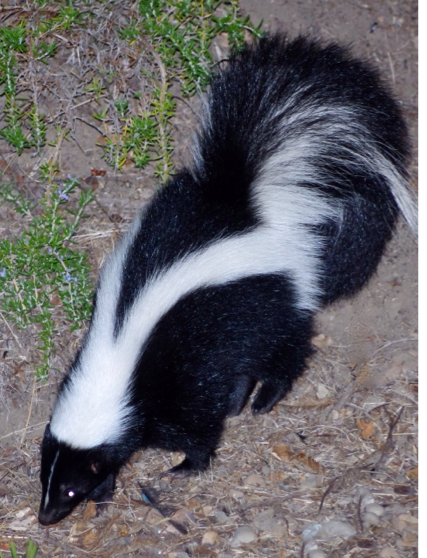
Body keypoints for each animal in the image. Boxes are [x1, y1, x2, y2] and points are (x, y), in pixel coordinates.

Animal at [36, 36, 418, 528]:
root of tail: (246, 203)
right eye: (46, 476)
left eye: (69, 487)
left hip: (267, 300)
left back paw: (264, 399)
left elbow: (199, 430)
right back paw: (240, 399)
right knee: (242, 365)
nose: (46, 516)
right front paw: (109, 490)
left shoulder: (178, 384)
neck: (117, 354)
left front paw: (185, 466)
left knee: (286, 349)